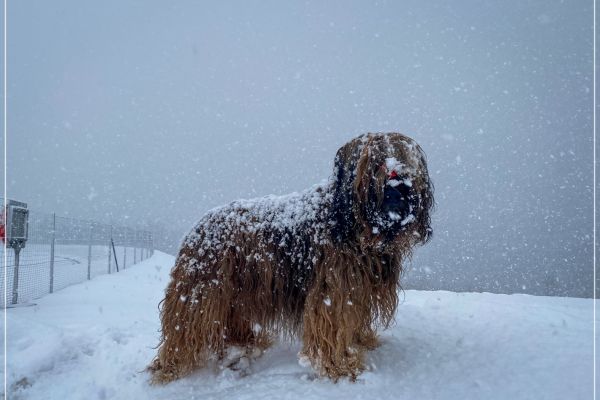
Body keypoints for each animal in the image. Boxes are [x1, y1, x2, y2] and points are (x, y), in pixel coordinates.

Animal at [149, 133, 432, 382]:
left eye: (404, 157)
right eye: (375, 162)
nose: (397, 184)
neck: (355, 226)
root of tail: (197, 228)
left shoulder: (357, 289)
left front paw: (360, 343)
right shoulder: (332, 289)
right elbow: (332, 325)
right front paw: (341, 366)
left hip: (237, 291)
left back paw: (244, 346)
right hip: (203, 288)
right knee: (184, 328)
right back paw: (170, 367)